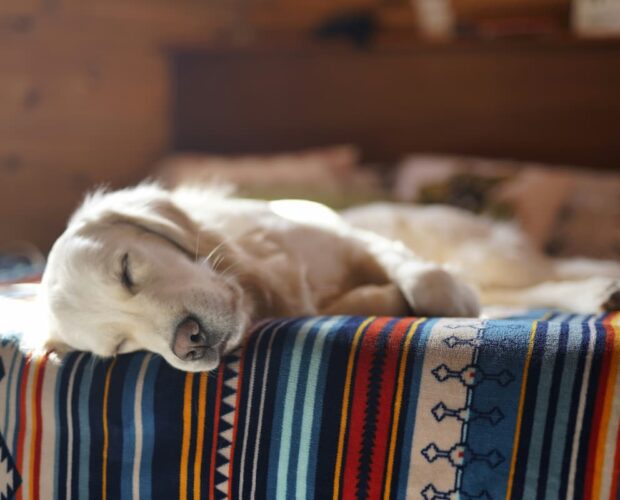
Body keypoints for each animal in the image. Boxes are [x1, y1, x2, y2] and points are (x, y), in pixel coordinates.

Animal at [41, 184, 616, 372]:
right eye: (120, 348)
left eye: (127, 270)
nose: (189, 344)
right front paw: (386, 297)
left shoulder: (344, 235)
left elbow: (419, 277)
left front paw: (441, 294)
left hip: (489, 253)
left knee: (545, 276)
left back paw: (598, 283)